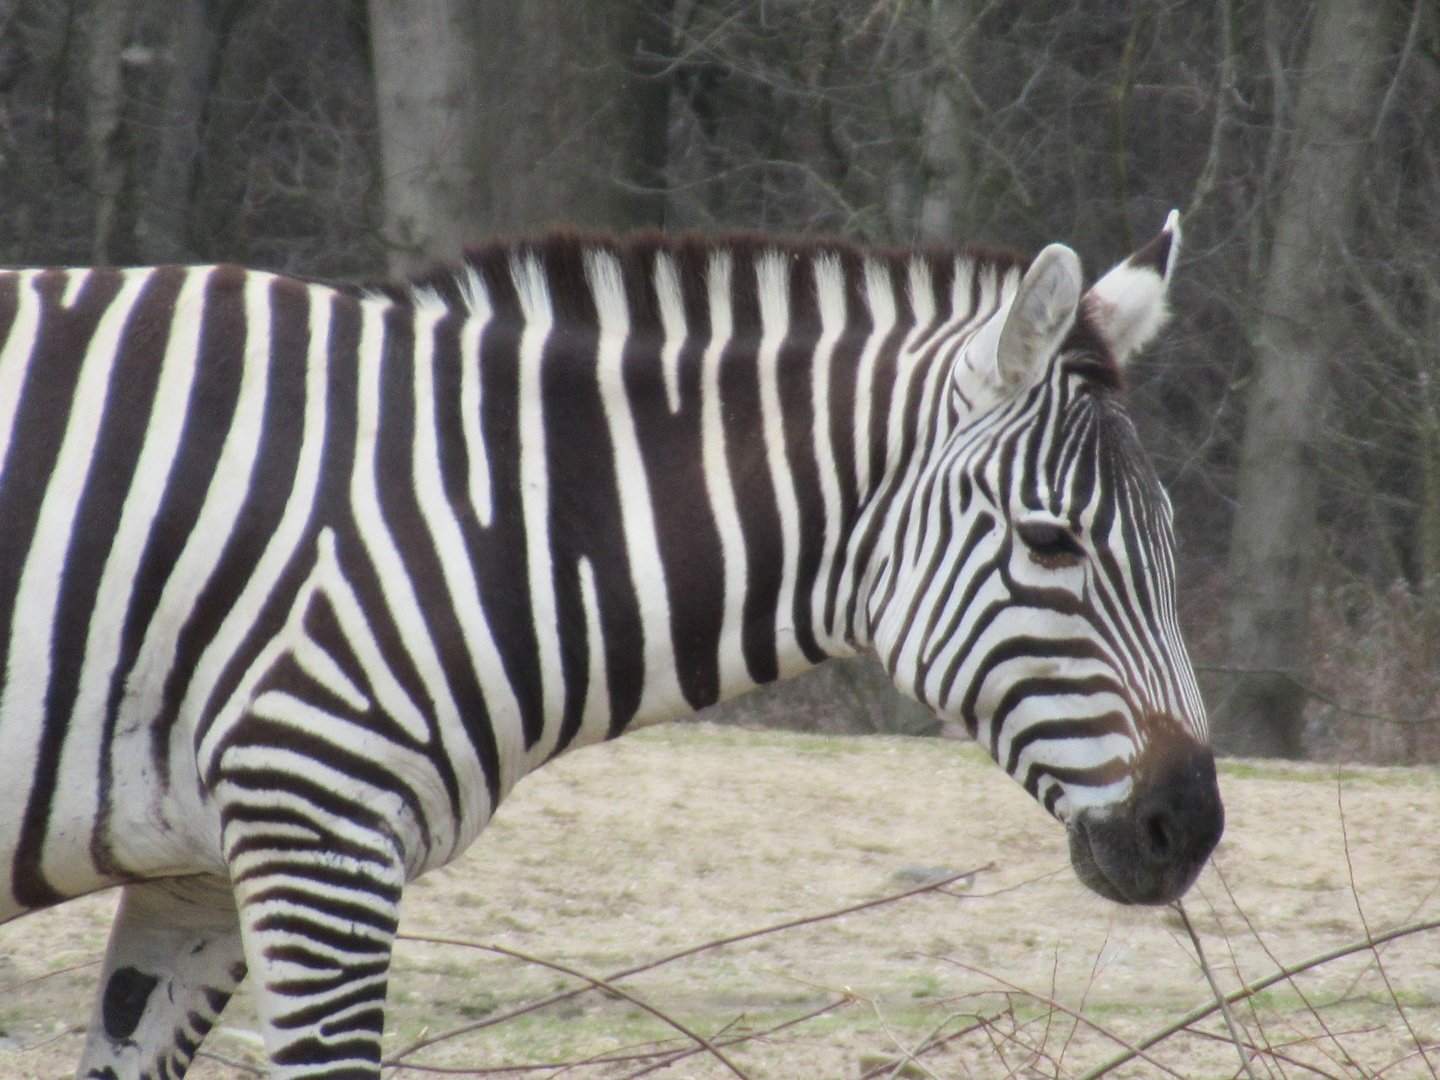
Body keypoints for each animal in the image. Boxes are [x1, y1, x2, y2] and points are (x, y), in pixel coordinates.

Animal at [0, 213, 1223, 1079]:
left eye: (1172, 540)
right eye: (1051, 541)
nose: (1193, 828)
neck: (488, 511)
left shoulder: (198, 876)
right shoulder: (316, 833)